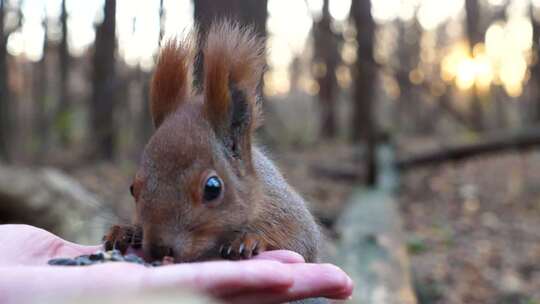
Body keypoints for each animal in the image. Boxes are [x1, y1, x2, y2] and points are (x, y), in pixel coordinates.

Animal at [103, 21, 322, 264]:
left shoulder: (288, 212)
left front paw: (248, 239)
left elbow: (301, 243)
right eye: (133, 188)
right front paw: (124, 231)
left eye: (213, 188)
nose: (159, 250)